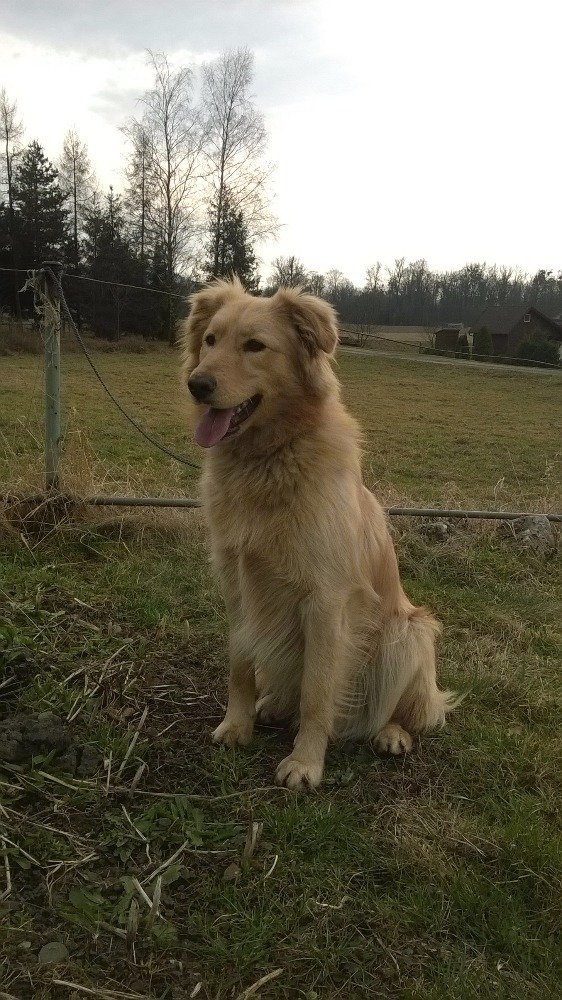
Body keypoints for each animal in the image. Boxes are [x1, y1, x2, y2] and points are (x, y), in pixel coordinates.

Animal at [182, 280, 458, 788]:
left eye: (255, 346)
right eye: (210, 340)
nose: (197, 385)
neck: (268, 459)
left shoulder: (326, 599)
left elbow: (317, 690)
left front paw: (306, 762)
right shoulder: (238, 584)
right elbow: (240, 667)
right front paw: (236, 724)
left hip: (408, 634)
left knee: (399, 712)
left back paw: (390, 733)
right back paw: (272, 705)